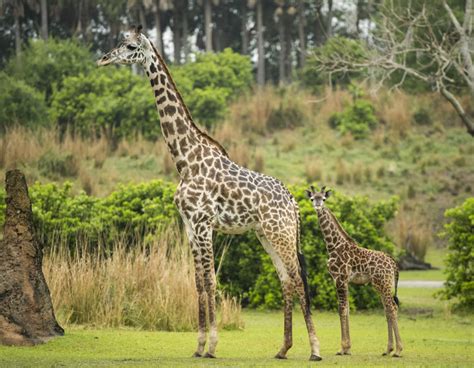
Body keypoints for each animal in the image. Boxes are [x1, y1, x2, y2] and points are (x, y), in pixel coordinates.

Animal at [97, 25, 320, 360]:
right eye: (119, 41)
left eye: (131, 46)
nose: (103, 58)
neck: (184, 160)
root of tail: (293, 203)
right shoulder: (189, 226)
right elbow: (199, 282)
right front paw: (199, 346)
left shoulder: (204, 224)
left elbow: (212, 281)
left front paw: (213, 346)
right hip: (266, 234)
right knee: (285, 280)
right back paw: (283, 348)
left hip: (280, 233)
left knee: (297, 278)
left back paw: (315, 349)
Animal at [306, 185, 402, 358]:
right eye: (312, 198)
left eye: (323, 198)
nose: (318, 206)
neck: (333, 246)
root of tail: (393, 263)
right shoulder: (343, 280)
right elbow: (348, 309)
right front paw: (348, 348)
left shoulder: (340, 278)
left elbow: (341, 309)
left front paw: (342, 348)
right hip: (381, 285)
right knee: (388, 309)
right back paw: (388, 349)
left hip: (383, 284)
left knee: (391, 308)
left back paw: (398, 350)